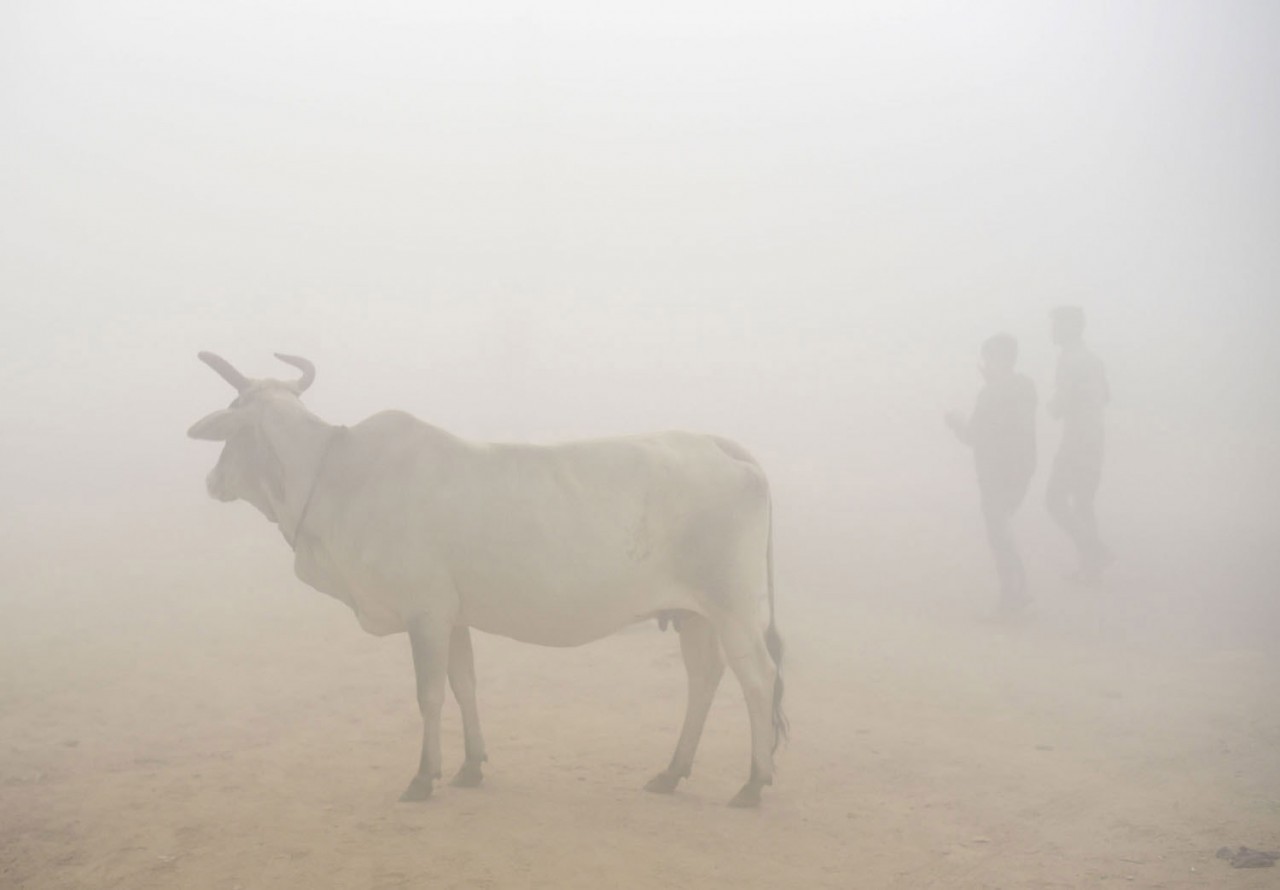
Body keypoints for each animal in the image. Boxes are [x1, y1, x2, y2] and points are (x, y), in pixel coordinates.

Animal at [186, 350, 788, 804]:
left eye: (234, 412)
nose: (212, 481)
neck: (334, 473)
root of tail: (719, 445)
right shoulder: (452, 615)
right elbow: (464, 685)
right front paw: (470, 767)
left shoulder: (424, 613)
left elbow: (429, 694)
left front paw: (422, 777)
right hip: (695, 613)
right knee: (704, 679)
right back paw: (672, 771)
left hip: (733, 607)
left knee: (759, 678)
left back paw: (754, 783)